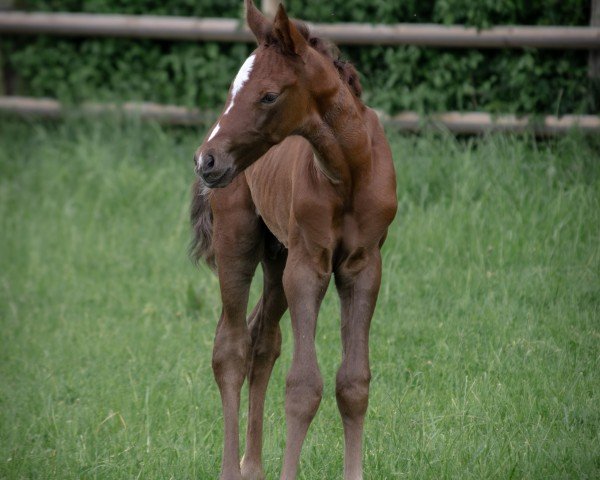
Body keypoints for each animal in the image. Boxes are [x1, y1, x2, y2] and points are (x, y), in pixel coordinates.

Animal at [191, 1, 398, 478]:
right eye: (232, 91)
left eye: (268, 95)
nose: (207, 160)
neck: (349, 173)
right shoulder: (308, 267)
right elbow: (304, 387)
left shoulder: (363, 267)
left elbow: (353, 383)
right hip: (239, 240)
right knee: (230, 348)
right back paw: (232, 468)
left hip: (277, 256)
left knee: (262, 342)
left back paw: (253, 466)